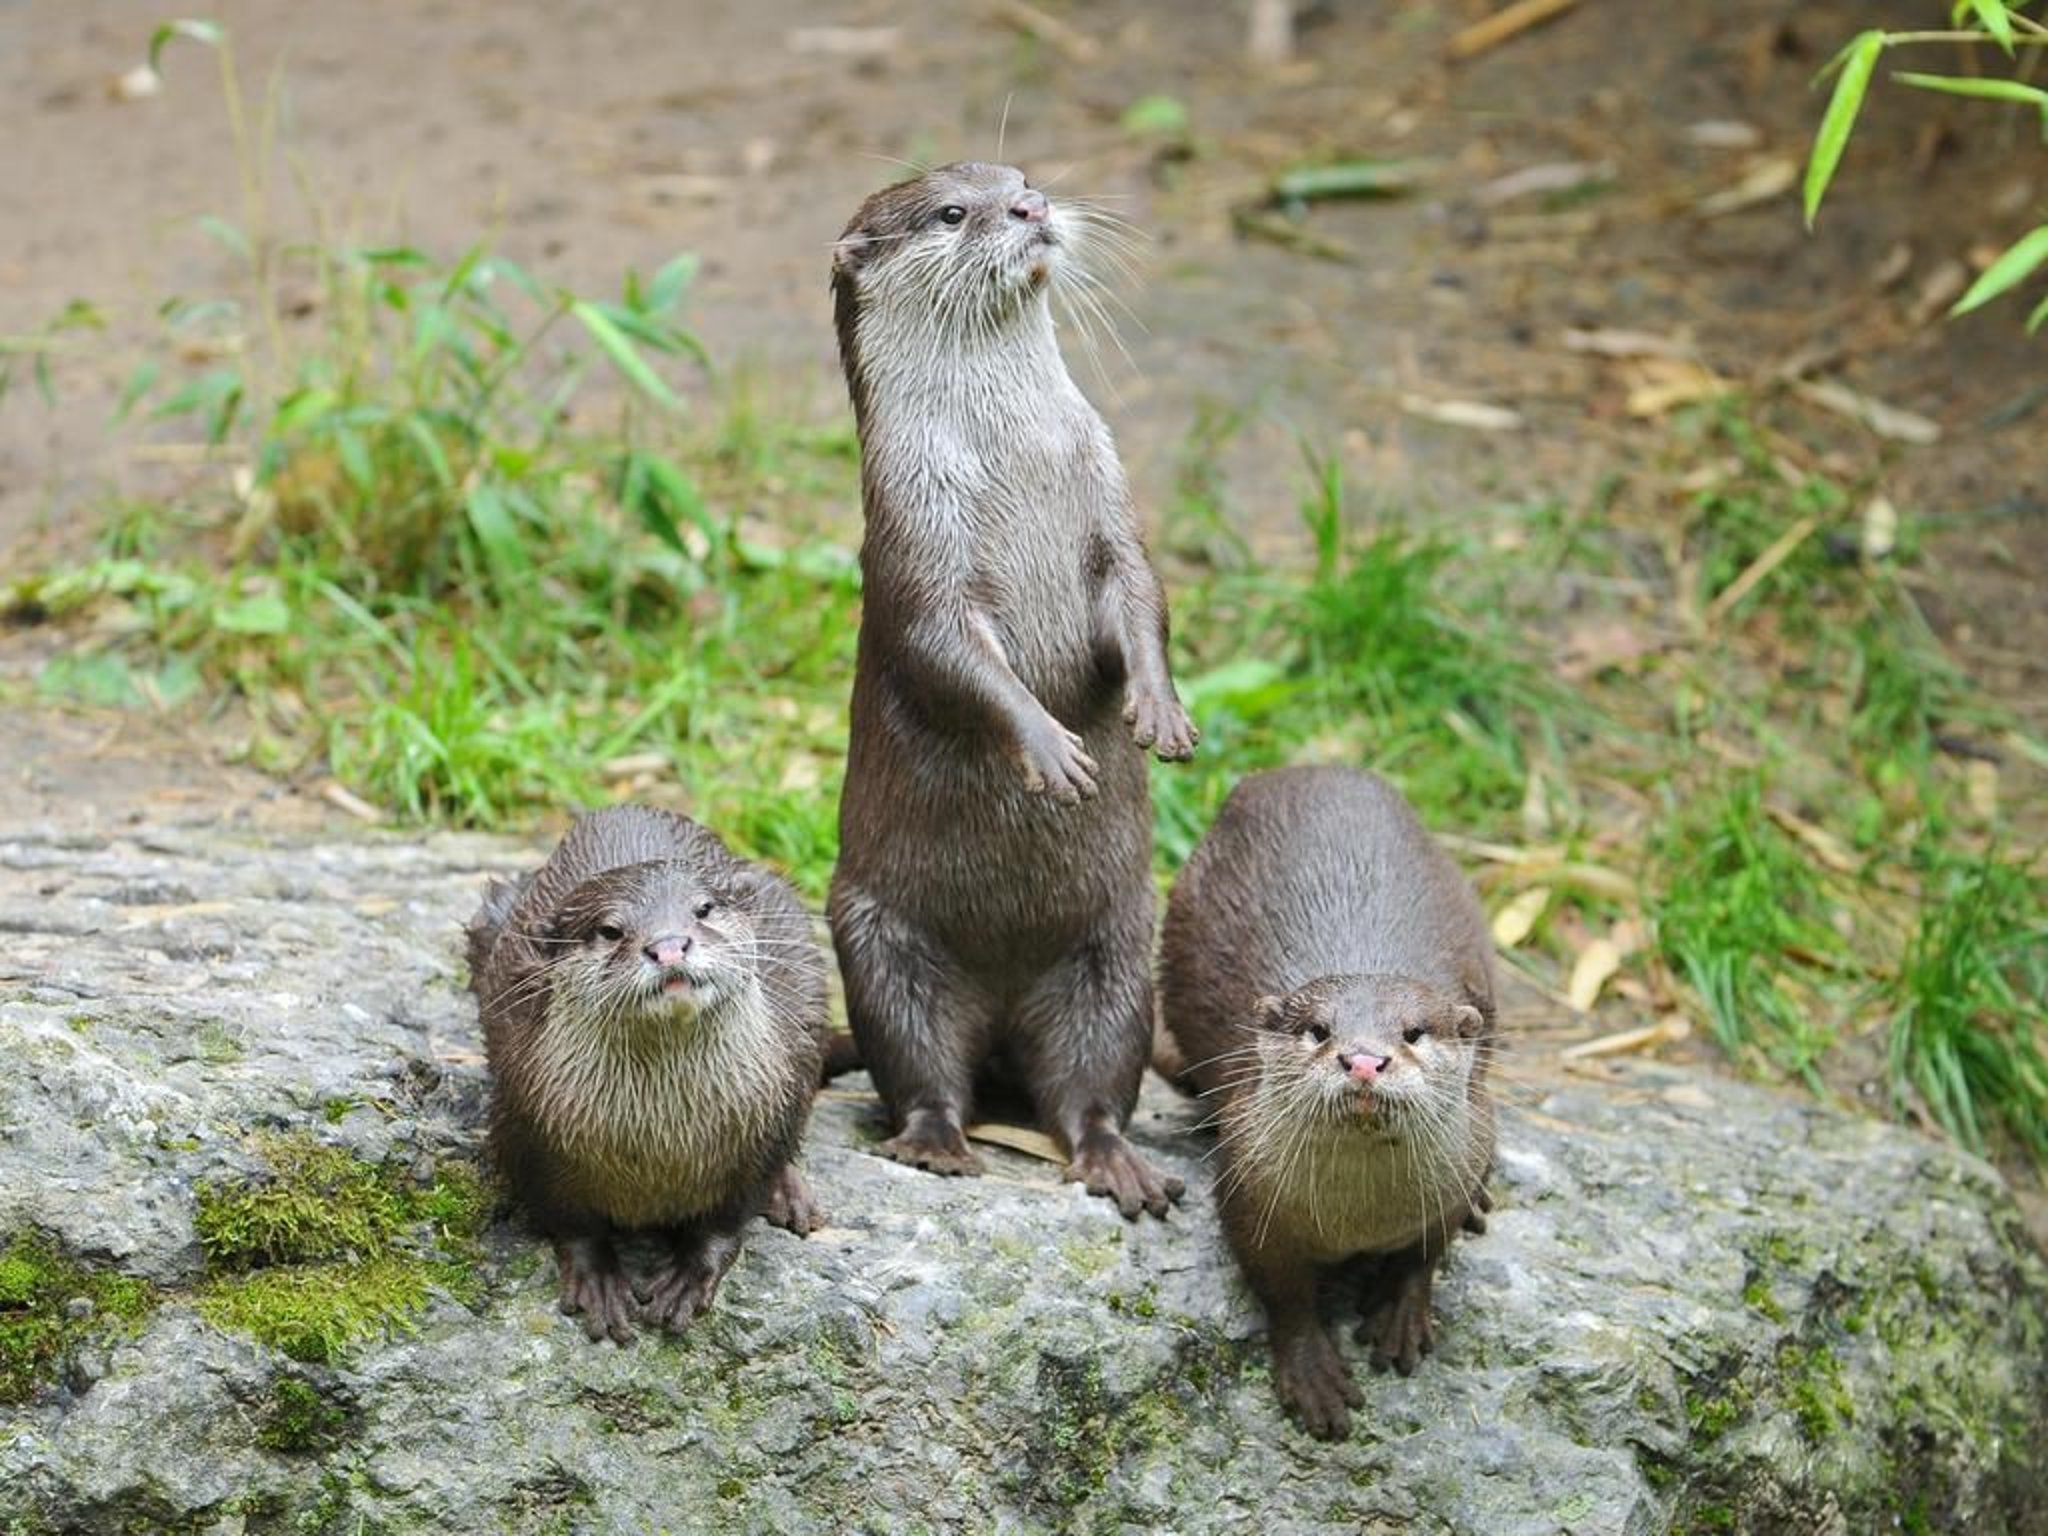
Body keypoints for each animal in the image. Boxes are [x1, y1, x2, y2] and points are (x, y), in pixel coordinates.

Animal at [467, 805, 828, 1342]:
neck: (659, 1146)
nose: (670, 946)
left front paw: (691, 1273)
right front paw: (598, 1276)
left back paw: (792, 1195)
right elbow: (567, 1218)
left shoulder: (763, 1125)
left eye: (703, 910)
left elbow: (729, 1218)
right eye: (610, 930)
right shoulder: (525, 1128)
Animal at [826, 161, 1196, 1219]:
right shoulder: (914, 536)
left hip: (1117, 953)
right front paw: (1047, 746)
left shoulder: (1109, 496)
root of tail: (996, 1017)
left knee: (1089, 1089)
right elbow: (949, 654)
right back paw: (938, 1144)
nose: (1030, 208)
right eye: (954, 213)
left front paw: (1159, 710)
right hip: (879, 938)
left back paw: (1118, 1164)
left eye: (1021, 179)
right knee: (921, 1066)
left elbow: (1142, 599)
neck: (1016, 455)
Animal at [1159, 766, 1497, 1438]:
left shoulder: (1455, 1168)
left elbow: (1427, 1253)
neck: (1361, 1218)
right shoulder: (1249, 1195)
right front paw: (1313, 1372)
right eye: (1319, 1031)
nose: (1364, 1058)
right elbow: (1283, 1292)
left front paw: (1402, 1316)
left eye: (1413, 1032)